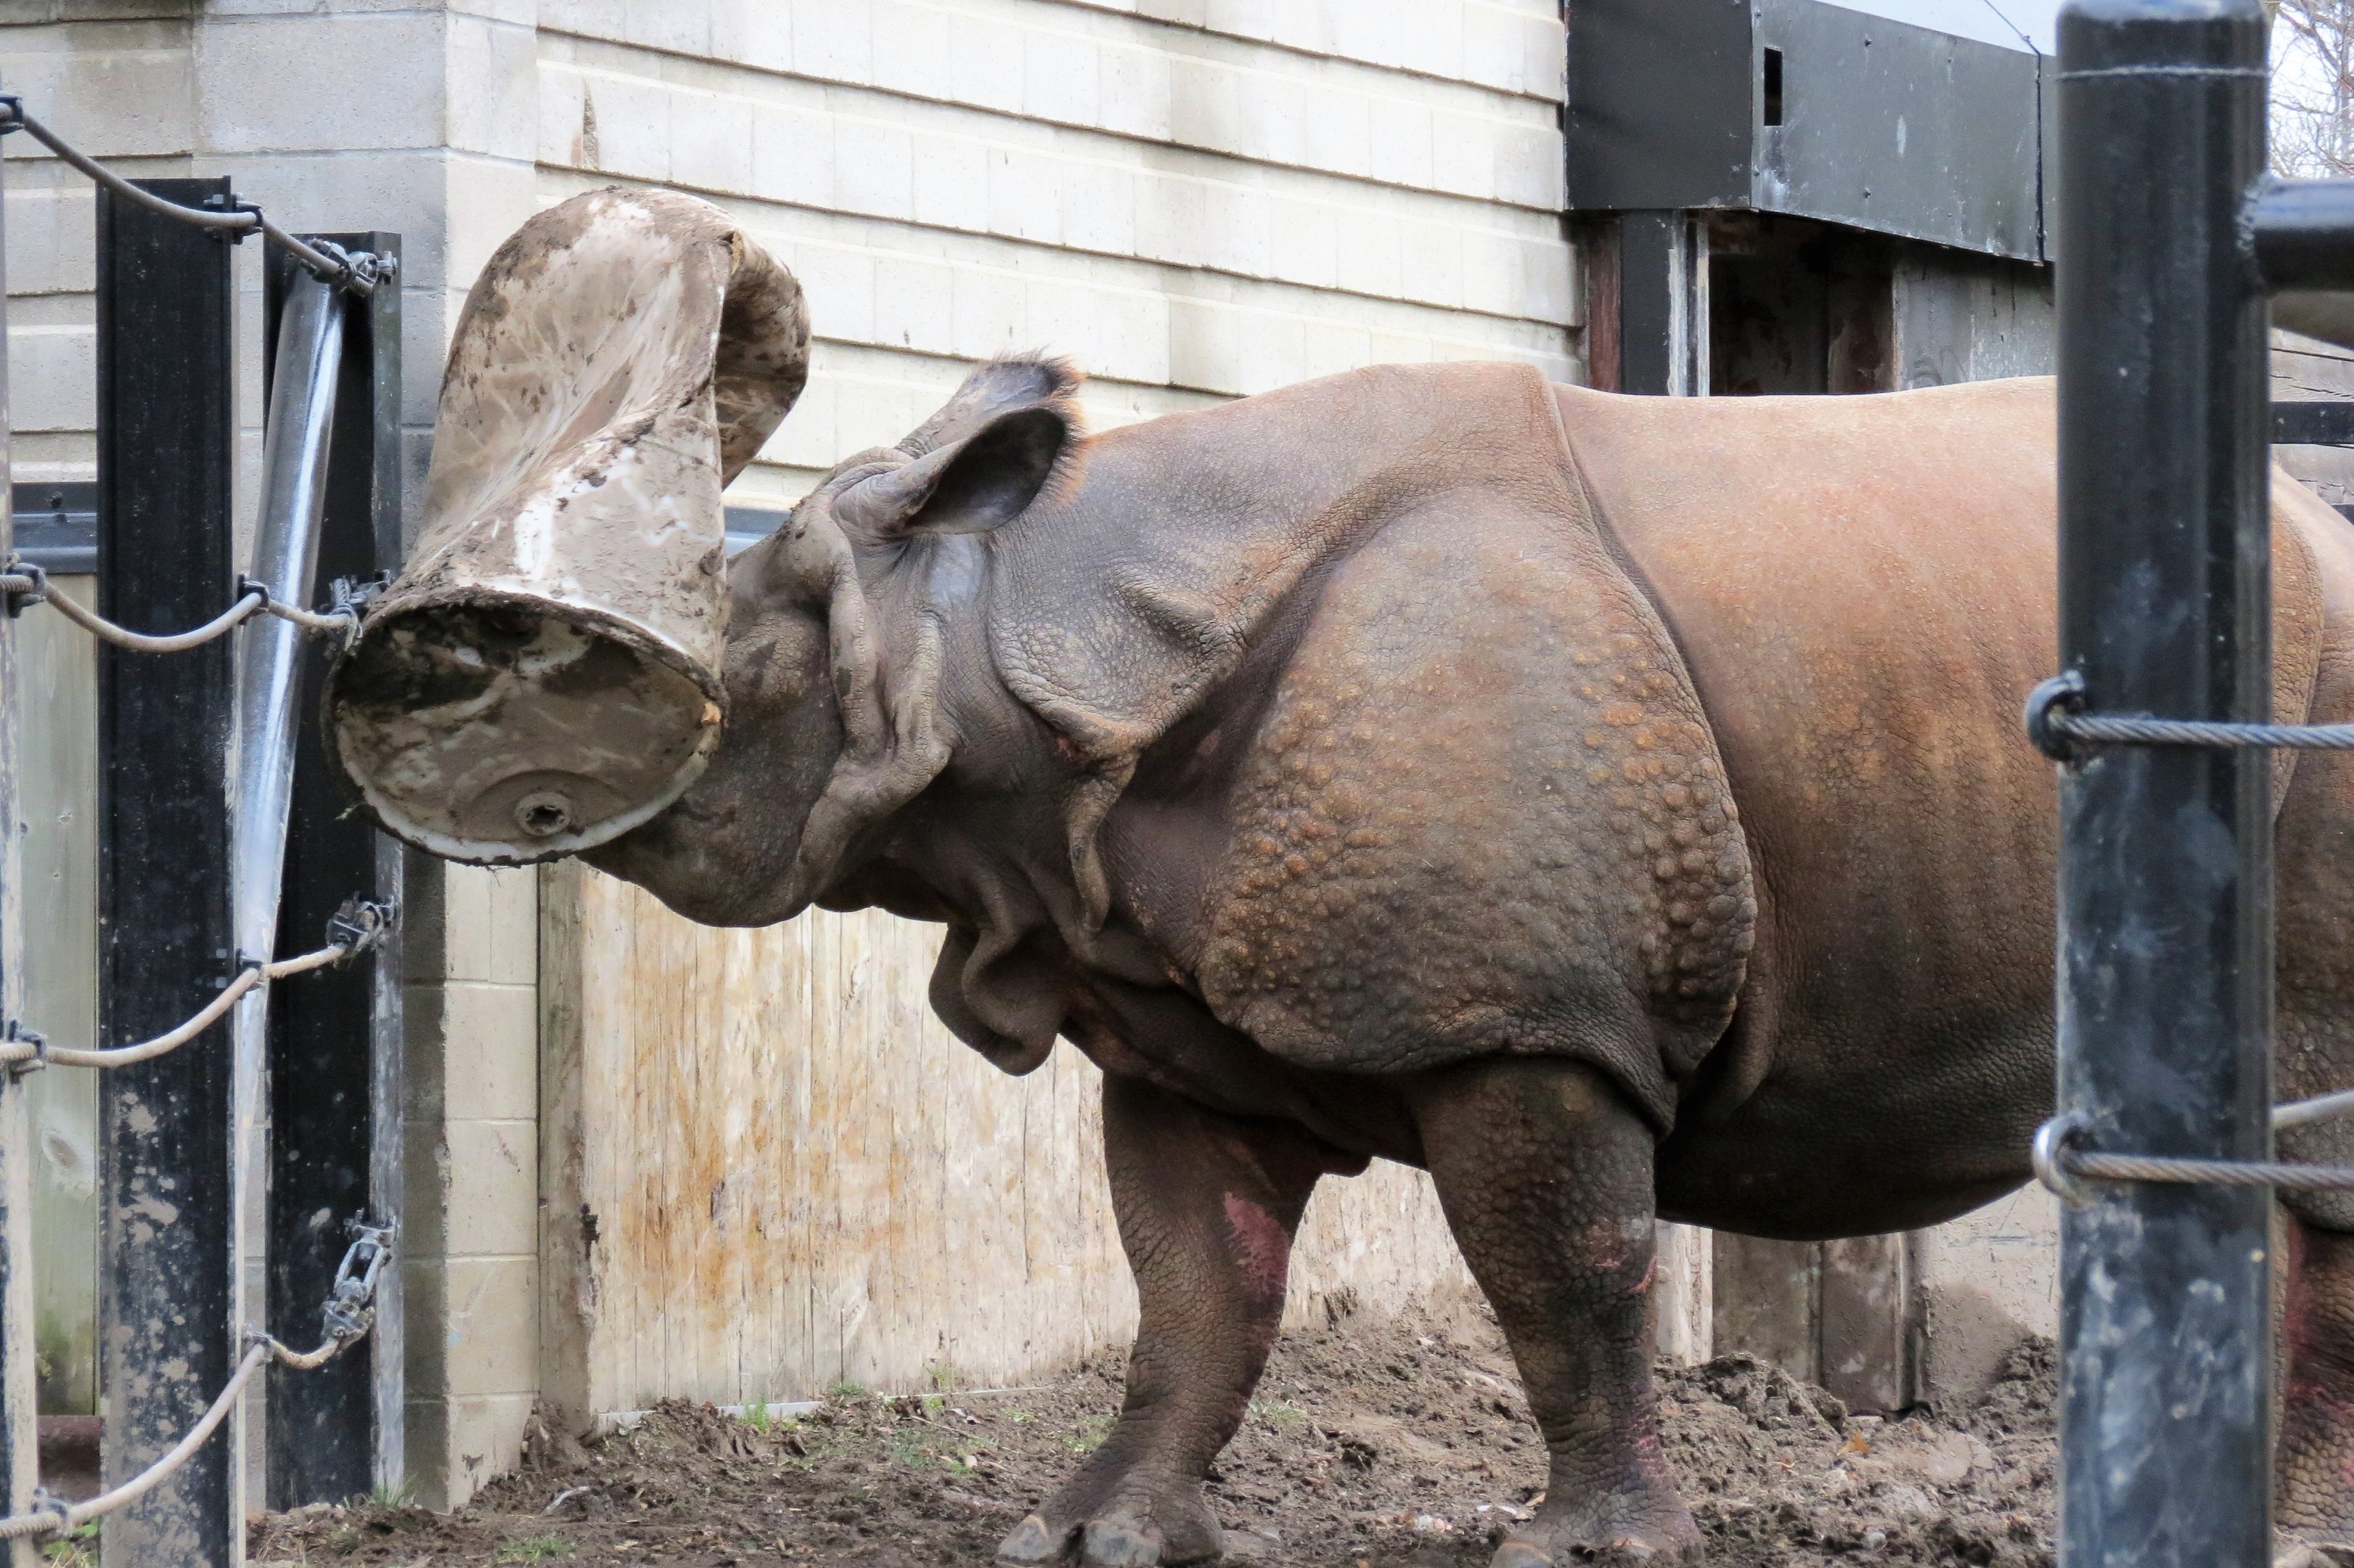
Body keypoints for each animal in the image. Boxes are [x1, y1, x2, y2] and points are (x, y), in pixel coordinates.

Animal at [329, 189, 2354, 1566]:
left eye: (729, 661)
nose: (510, 774)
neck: (1020, 642)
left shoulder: (1524, 1017)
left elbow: (1567, 1273)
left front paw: (1583, 1550)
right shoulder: (1159, 1005)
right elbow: (1188, 1293)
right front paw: (1088, 1536)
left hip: (2315, 696)